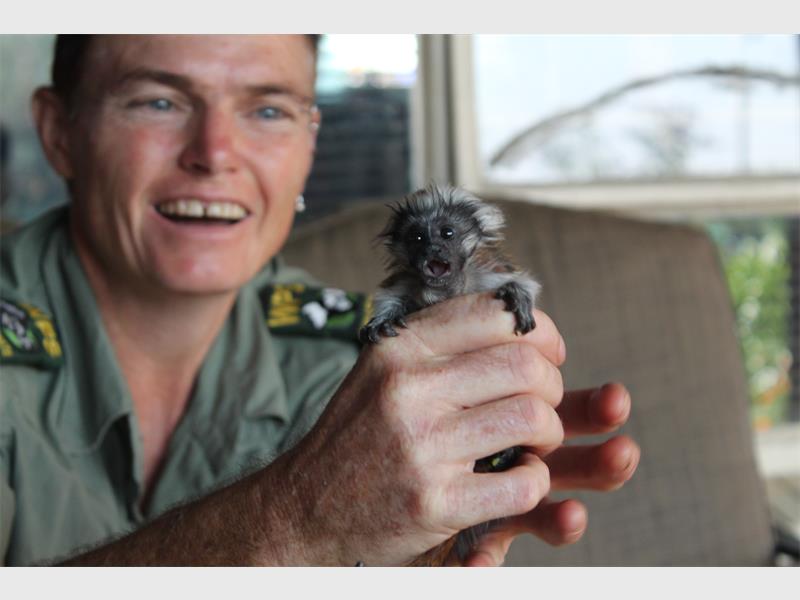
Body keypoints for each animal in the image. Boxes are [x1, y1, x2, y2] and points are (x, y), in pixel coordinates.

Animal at [359, 183, 542, 566]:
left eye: (447, 233)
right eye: (416, 237)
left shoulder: (489, 271)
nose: (432, 250)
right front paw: (382, 319)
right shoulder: (405, 283)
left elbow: (521, 285)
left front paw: (518, 294)